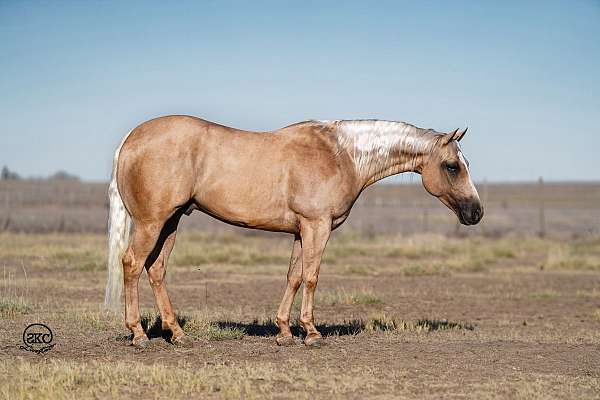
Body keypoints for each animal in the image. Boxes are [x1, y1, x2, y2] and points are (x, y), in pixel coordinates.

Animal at [106, 115, 482, 346]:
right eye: (452, 166)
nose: (476, 212)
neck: (341, 154)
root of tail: (131, 139)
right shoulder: (317, 226)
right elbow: (312, 276)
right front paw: (311, 332)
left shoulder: (302, 231)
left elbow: (294, 276)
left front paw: (285, 331)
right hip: (152, 223)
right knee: (132, 264)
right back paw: (138, 334)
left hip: (171, 222)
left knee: (156, 269)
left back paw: (177, 333)